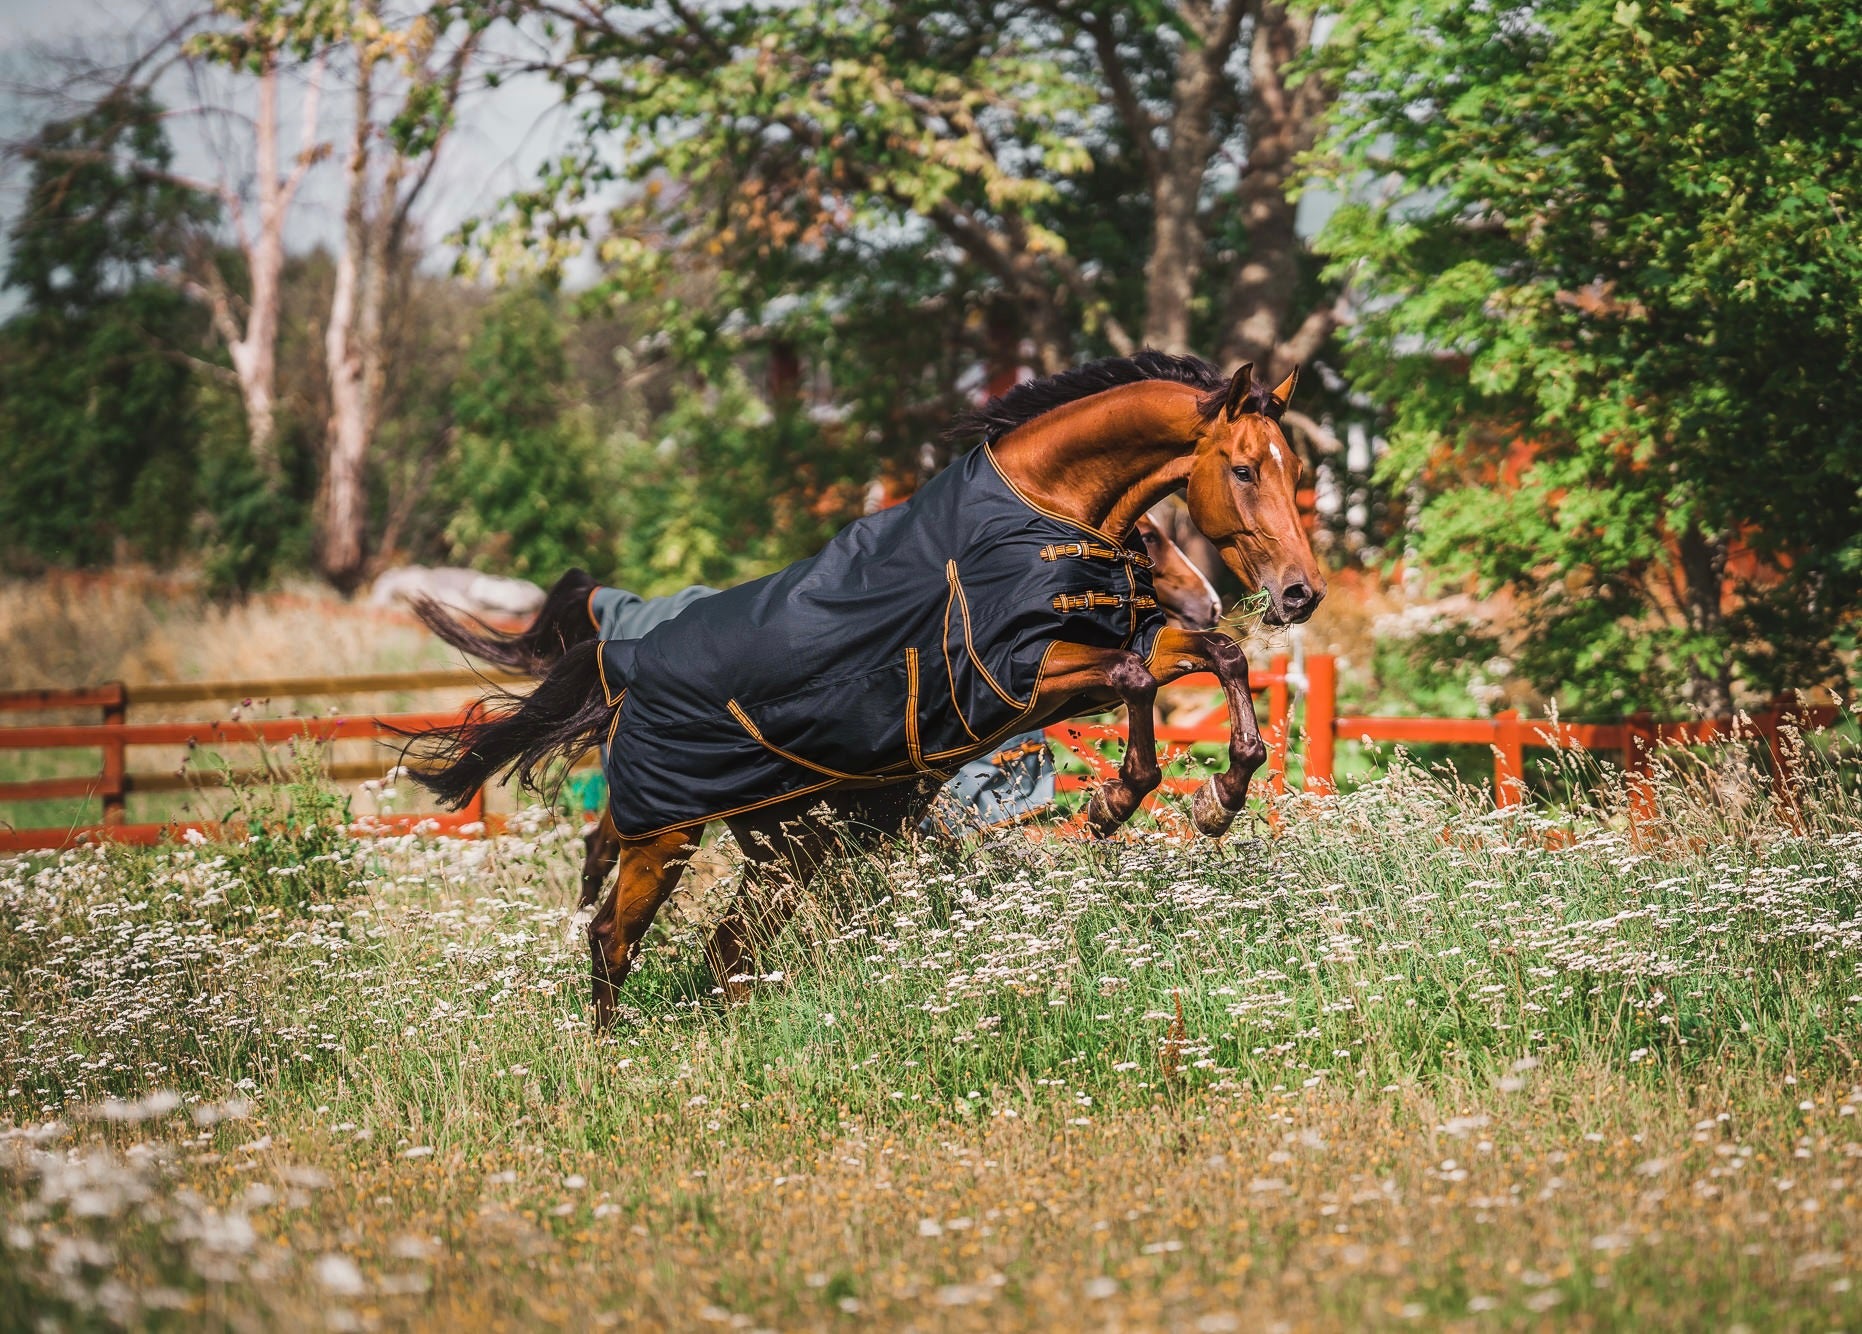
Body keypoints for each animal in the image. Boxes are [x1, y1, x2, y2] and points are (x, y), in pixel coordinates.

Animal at [411, 352, 1325, 1020]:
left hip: (785, 849)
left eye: (1296, 470)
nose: (1300, 593)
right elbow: (1142, 677)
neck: (1035, 515)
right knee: (611, 936)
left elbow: (1217, 656)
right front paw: (1116, 802)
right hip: (666, 836)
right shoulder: (1016, 680)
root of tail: (625, 662)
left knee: (726, 948)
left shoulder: (1080, 673)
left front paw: (1219, 799)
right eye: (1245, 471)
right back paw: (615, 1060)